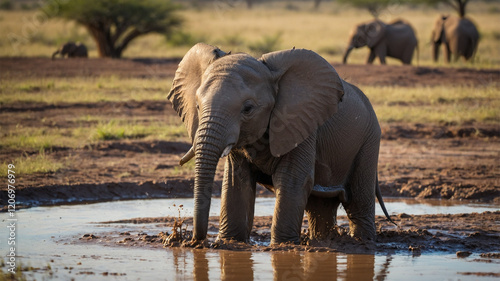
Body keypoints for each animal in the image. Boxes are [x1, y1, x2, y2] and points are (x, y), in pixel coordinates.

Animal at [168, 42, 394, 246]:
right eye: (198, 106)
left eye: (248, 109)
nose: (195, 241)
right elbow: (236, 181)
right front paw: (229, 243)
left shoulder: (301, 123)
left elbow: (292, 179)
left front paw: (282, 247)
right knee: (320, 205)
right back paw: (325, 242)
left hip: (369, 141)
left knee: (358, 201)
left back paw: (362, 243)